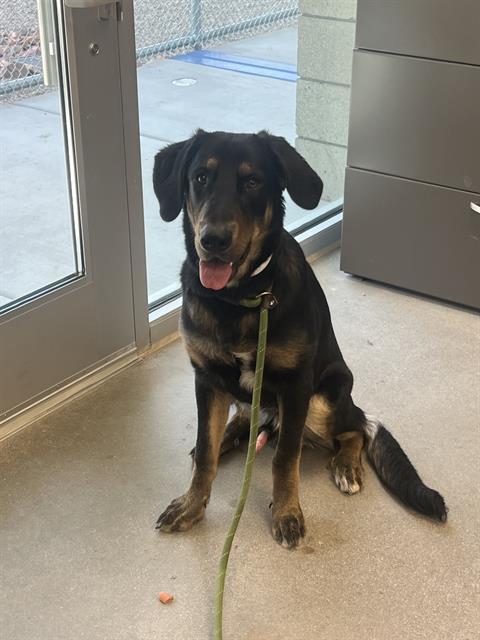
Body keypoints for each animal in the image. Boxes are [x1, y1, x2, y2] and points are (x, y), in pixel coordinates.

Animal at [153, 131, 446, 552]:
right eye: (200, 178)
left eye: (253, 181)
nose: (213, 240)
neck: (241, 299)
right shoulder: (207, 379)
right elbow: (206, 452)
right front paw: (191, 505)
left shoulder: (295, 388)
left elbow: (285, 459)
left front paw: (287, 513)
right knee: (243, 419)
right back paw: (231, 435)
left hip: (324, 400)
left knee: (355, 428)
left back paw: (346, 465)